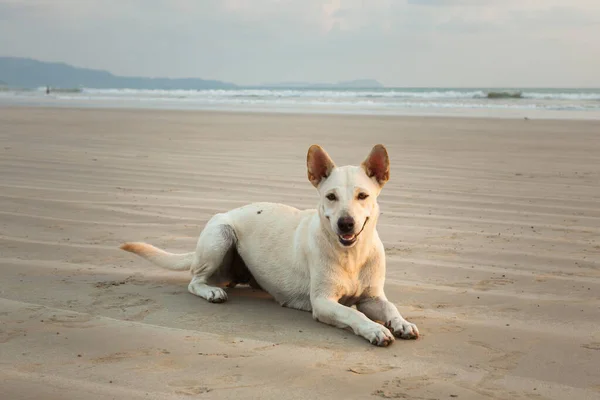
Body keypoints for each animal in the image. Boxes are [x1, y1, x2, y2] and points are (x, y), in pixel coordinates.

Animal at [120, 145, 420, 346]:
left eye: (362, 196)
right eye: (331, 197)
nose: (345, 224)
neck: (352, 254)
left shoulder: (372, 298)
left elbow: (390, 307)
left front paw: (402, 323)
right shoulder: (323, 302)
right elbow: (352, 314)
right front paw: (375, 330)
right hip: (220, 236)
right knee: (195, 280)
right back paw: (211, 291)